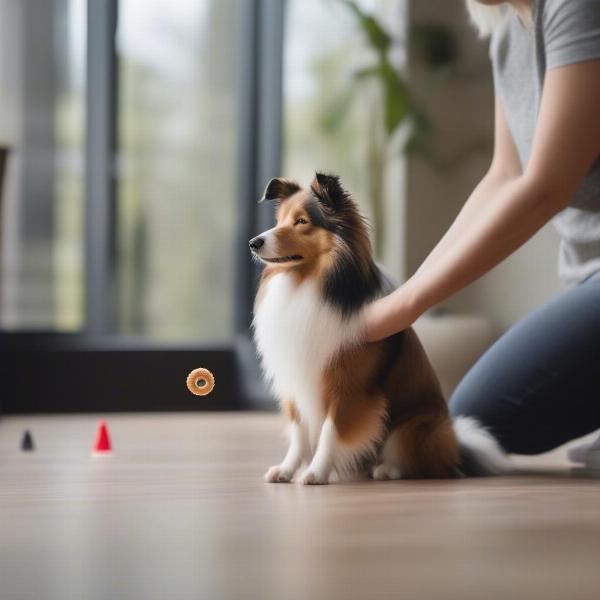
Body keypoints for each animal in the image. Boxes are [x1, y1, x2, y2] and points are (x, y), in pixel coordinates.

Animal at [251, 172, 508, 482]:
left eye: (301, 221)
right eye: (279, 221)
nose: (253, 243)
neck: (310, 283)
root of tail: (457, 451)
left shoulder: (348, 388)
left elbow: (329, 433)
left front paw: (315, 473)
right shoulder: (294, 380)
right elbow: (299, 435)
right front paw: (286, 470)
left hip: (416, 425)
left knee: (420, 464)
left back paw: (386, 469)